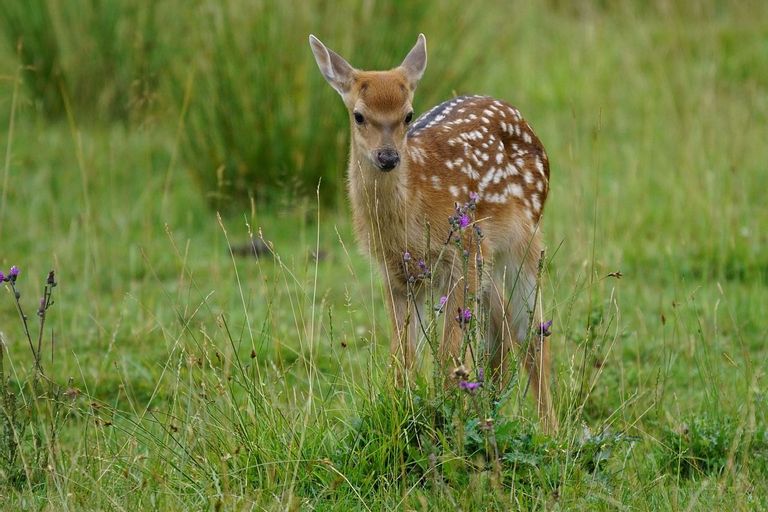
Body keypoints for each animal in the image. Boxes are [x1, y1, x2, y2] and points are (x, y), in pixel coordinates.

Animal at [310, 33, 560, 432]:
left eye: (408, 115)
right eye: (359, 115)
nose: (388, 157)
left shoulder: (464, 254)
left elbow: (447, 359)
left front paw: (446, 422)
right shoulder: (395, 273)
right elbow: (402, 361)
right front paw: (405, 414)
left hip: (523, 239)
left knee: (532, 333)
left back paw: (550, 431)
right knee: (501, 327)